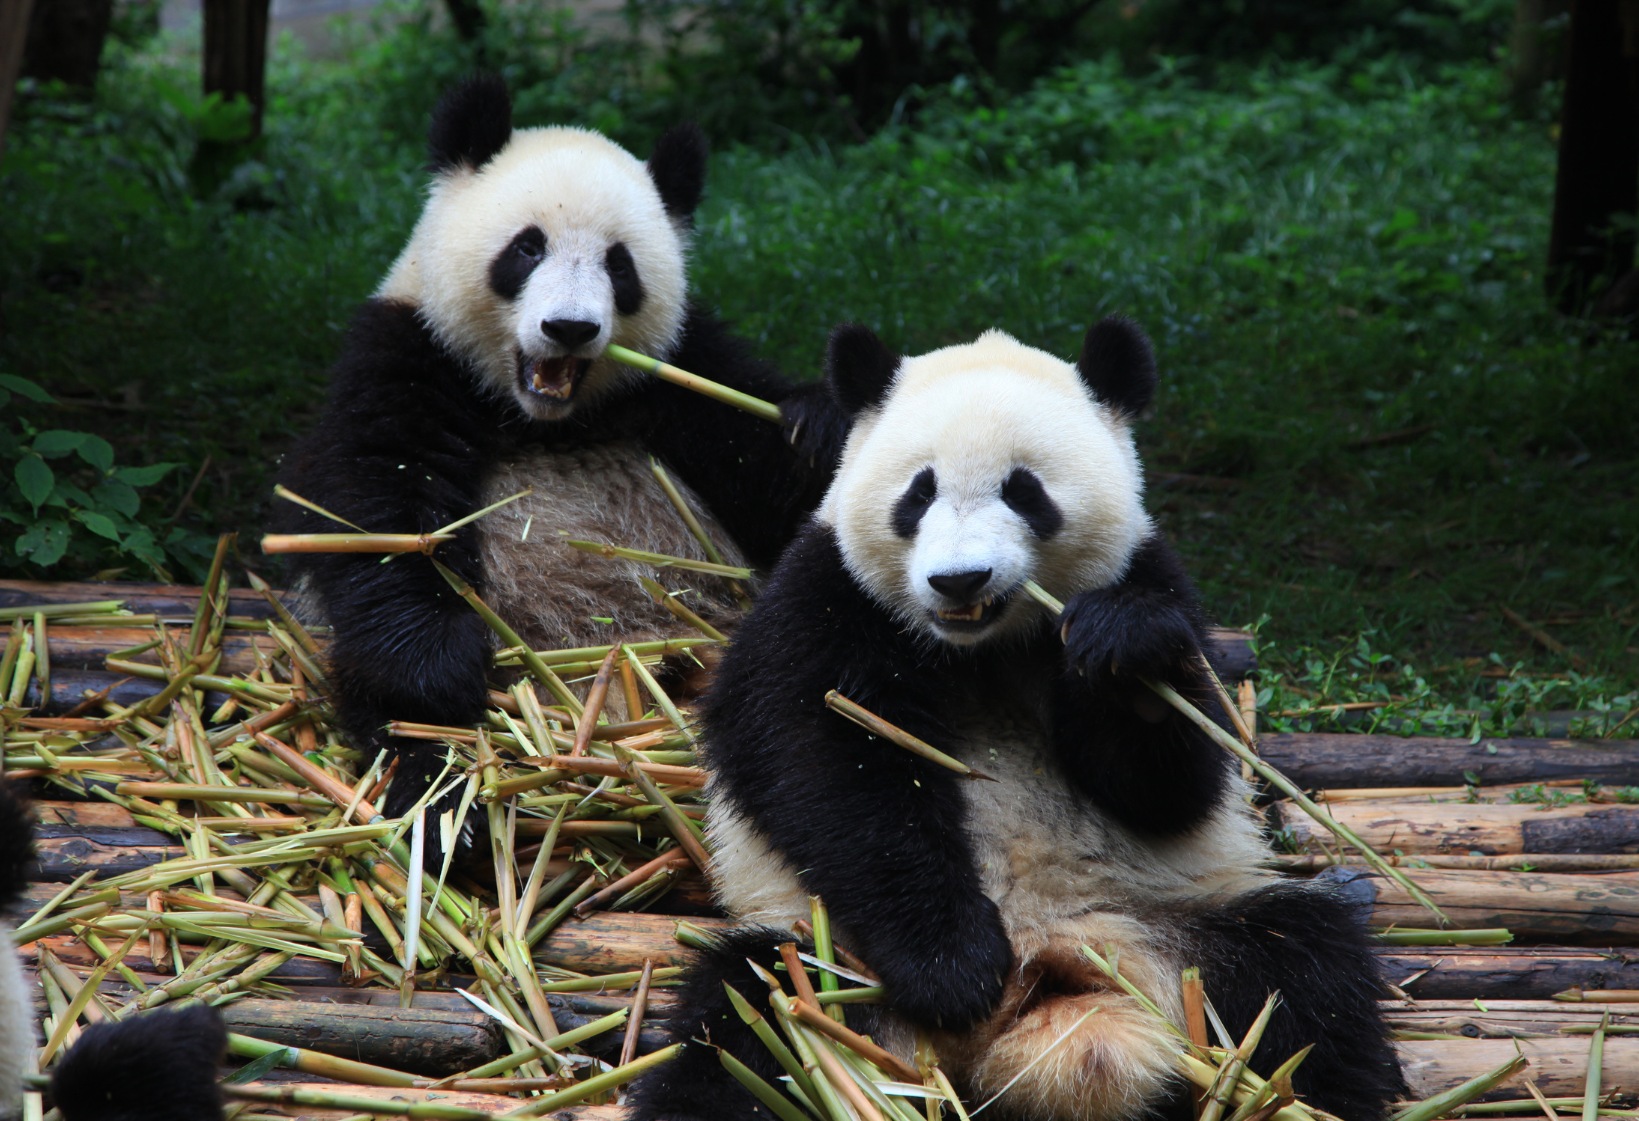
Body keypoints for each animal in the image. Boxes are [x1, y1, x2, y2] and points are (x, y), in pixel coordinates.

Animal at [275, 74, 841, 829]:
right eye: (526, 248)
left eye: (620, 264)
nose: (569, 328)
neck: (542, 418)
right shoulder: (406, 354)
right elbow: (379, 514)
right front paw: (440, 669)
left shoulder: (681, 372)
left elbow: (777, 472)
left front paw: (814, 425)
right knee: (400, 720)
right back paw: (451, 808)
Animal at [627, 320, 1403, 1121]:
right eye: (919, 492)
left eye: (1024, 491)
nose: (958, 579)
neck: (977, 647)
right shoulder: (826, 595)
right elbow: (825, 765)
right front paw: (952, 968)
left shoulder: (1153, 581)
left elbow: (1172, 784)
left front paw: (1123, 654)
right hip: (825, 964)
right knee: (746, 1020)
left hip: (1180, 934)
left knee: (1304, 977)